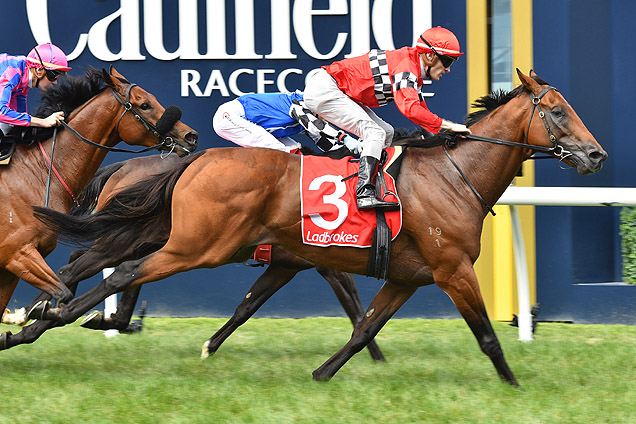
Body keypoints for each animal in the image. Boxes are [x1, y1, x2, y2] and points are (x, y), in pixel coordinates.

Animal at [0, 67, 196, 328]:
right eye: (144, 105)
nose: (191, 136)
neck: (38, 171)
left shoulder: (14, 264)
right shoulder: (18, 254)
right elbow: (63, 290)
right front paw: (26, 313)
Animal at [3, 154, 382, 360]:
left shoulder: (288, 265)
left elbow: (247, 306)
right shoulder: (326, 263)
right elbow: (356, 308)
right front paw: (376, 357)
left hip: (144, 238)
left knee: (86, 266)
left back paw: (43, 315)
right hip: (148, 239)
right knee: (88, 268)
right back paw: (38, 314)